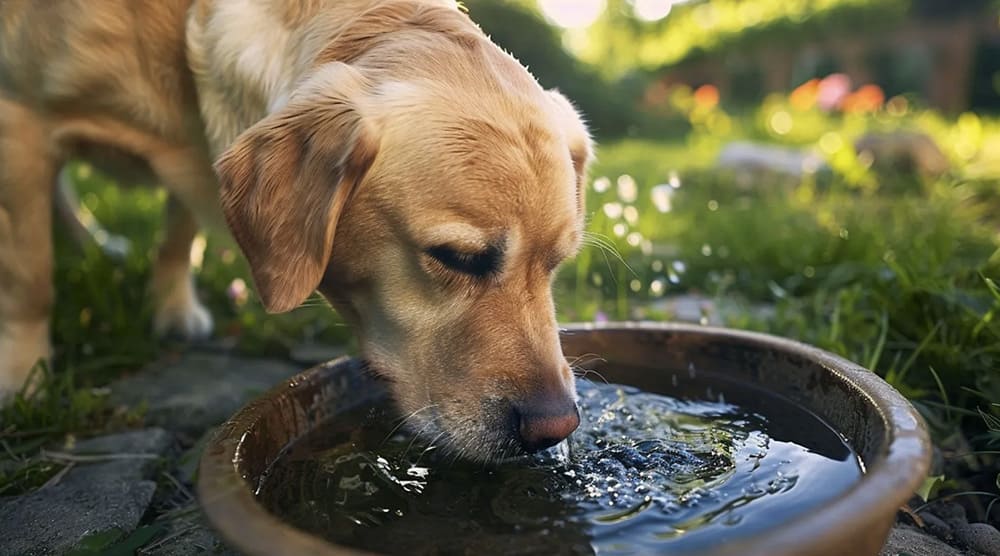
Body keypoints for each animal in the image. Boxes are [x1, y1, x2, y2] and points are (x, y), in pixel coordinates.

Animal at [0, 0, 588, 460]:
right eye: (457, 257)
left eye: (556, 265)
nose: (555, 427)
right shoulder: (22, 118)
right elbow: (31, 278)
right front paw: (24, 378)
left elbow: (178, 233)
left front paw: (172, 308)